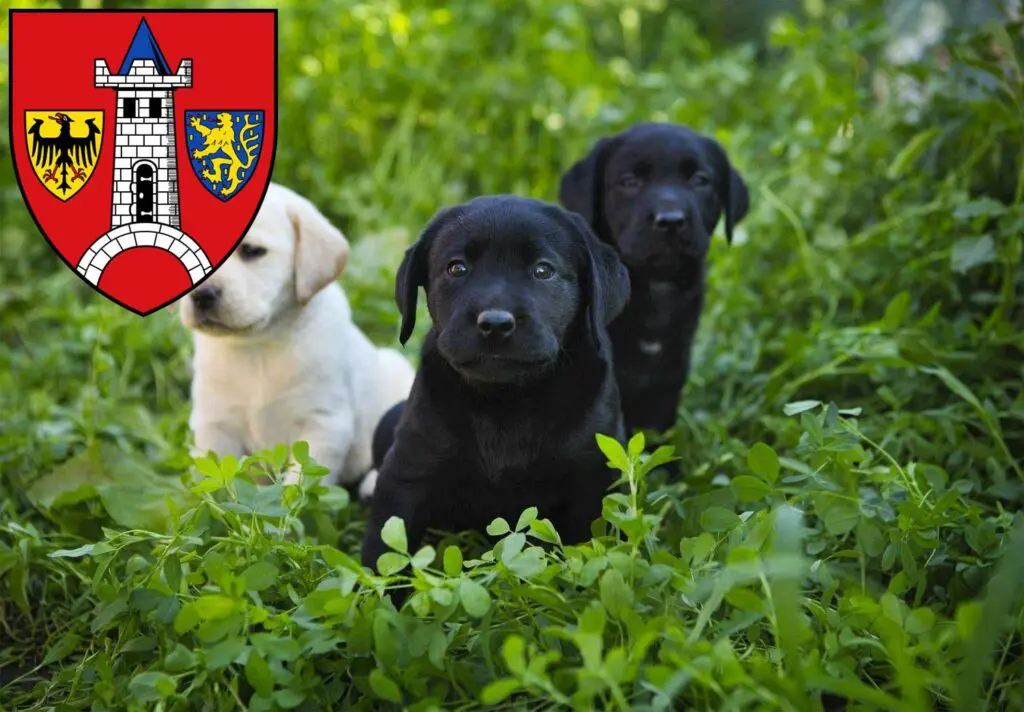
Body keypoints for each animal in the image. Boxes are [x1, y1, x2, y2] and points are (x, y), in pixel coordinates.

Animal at [181, 181, 415, 497]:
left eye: (252, 251)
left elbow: (298, 485)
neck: (257, 347)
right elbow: (214, 484)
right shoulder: (213, 425)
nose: (202, 295)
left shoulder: (323, 423)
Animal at [360, 194, 630, 577]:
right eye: (457, 268)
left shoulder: (593, 476)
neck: (506, 399)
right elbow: (384, 547)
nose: (496, 323)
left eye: (543, 271)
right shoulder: (408, 467)